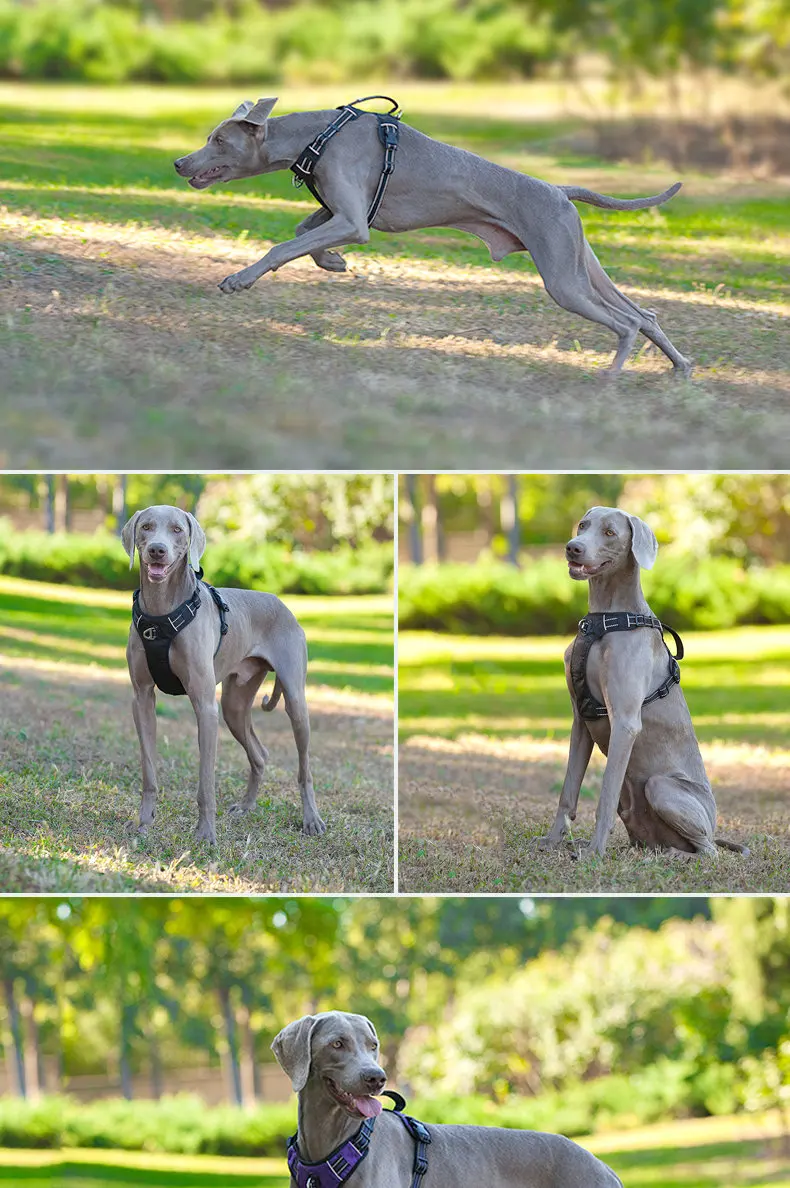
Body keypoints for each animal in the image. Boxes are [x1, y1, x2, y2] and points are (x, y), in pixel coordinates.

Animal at [121, 501, 323, 845]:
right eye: (146, 527)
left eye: (177, 529)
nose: (157, 550)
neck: (162, 612)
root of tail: (282, 604)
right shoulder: (141, 698)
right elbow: (149, 770)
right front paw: (144, 824)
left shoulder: (205, 706)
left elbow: (206, 783)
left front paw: (205, 833)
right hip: (234, 704)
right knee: (260, 754)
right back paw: (246, 806)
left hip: (295, 700)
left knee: (304, 768)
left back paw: (311, 820)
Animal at [174, 96, 689, 375]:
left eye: (218, 140)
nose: (179, 162)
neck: (318, 135)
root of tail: (559, 190)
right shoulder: (340, 212)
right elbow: (303, 233)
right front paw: (334, 262)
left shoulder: (352, 221)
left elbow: (284, 244)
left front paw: (239, 279)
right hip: (580, 264)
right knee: (644, 313)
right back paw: (681, 366)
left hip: (563, 278)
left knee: (626, 323)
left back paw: (611, 377)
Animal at [539, 506, 750, 860]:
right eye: (583, 525)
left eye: (610, 533)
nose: (572, 547)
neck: (604, 620)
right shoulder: (581, 721)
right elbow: (567, 792)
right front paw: (552, 842)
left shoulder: (625, 722)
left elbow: (605, 795)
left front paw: (595, 852)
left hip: (661, 786)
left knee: (708, 851)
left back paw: (676, 854)